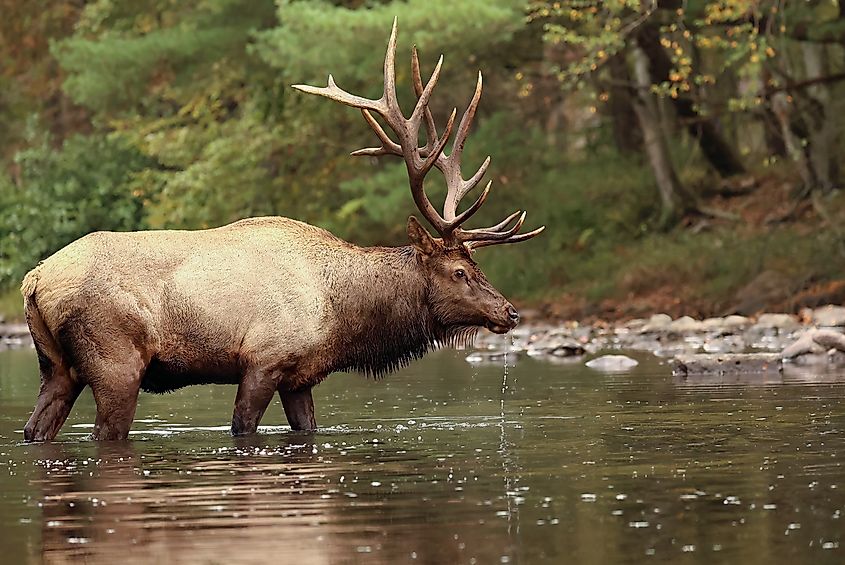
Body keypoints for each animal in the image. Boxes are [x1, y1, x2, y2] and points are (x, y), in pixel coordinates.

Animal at [21, 20, 543, 442]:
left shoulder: (301, 376)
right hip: (116, 362)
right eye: (459, 271)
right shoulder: (263, 359)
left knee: (34, 429)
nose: (511, 312)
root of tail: (34, 280)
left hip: (56, 367)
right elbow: (243, 427)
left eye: (476, 265)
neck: (343, 317)